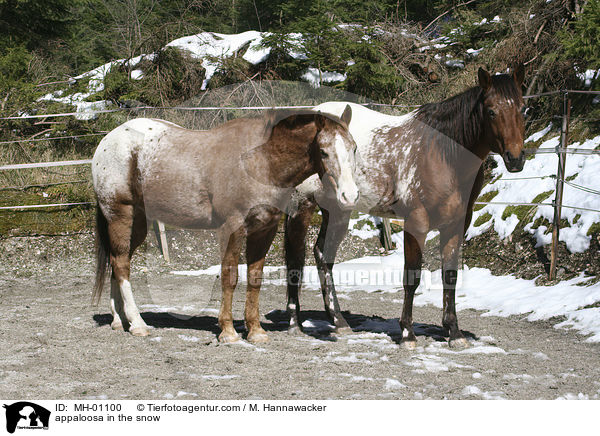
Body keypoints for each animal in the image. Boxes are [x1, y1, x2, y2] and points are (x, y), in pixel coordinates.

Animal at [91, 107, 358, 342]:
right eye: (323, 151)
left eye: (354, 148)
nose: (350, 196)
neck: (260, 162)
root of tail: (108, 140)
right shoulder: (232, 228)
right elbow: (230, 276)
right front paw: (228, 332)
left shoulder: (265, 230)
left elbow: (255, 277)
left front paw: (255, 331)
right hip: (120, 215)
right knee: (122, 265)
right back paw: (137, 324)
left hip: (137, 224)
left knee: (117, 261)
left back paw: (119, 320)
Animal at [286, 66, 524, 350]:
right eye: (490, 111)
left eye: (522, 108)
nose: (516, 159)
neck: (441, 155)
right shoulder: (416, 223)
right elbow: (412, 277)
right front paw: (408, 333)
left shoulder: (456, 226)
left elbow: (450, 277)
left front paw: (455, 333)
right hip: (303, 206)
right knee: (295, 259)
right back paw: (294, 323)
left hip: (338, 209)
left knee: (323, 255)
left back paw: (339, 321)